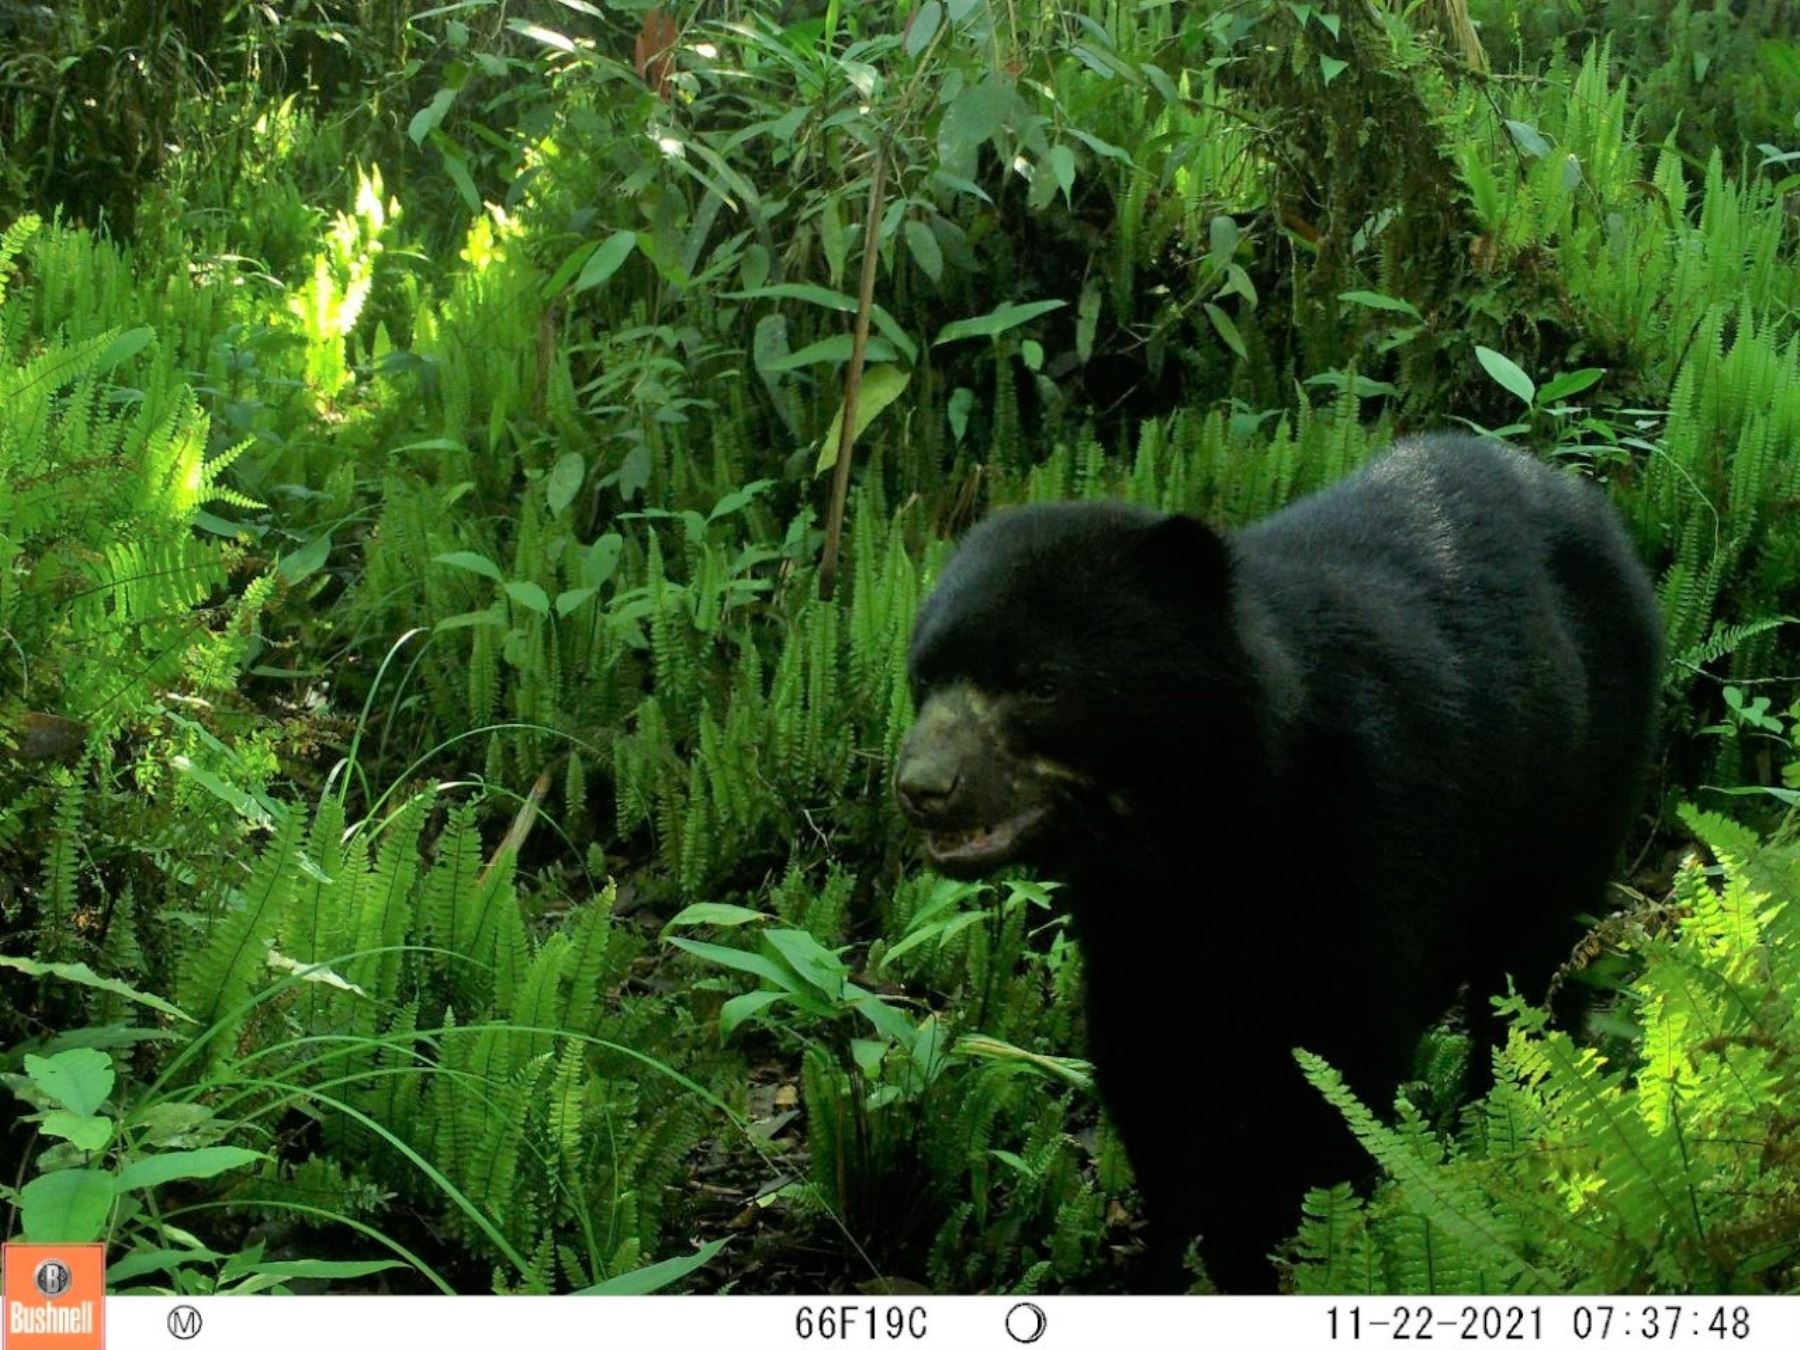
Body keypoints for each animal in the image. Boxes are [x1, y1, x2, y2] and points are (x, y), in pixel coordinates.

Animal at [892, 435, 1663, 1303]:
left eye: (1041, 683)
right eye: (925, 674)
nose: (924, 788)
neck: (1198, 832)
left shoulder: (1356, 844)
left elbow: (1329, 1076)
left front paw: (1280, 1250)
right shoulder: (1135, 919)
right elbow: (1149, 1065)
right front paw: (1174, 1259)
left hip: (1579, 783)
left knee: (1533, 976)